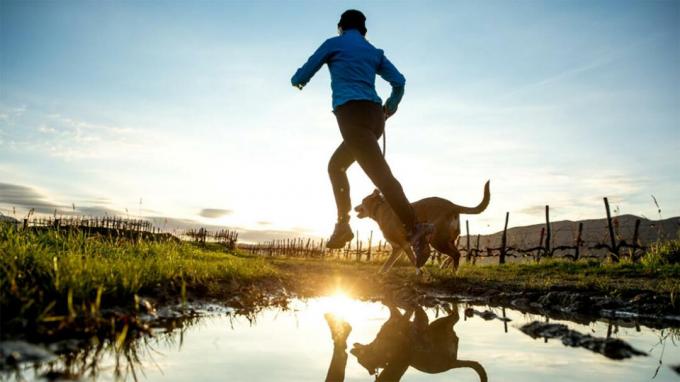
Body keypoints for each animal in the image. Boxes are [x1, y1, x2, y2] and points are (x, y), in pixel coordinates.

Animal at [356, 181, 488, 274]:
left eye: (362, 201)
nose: (355, 207)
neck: (379, 207)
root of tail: (453, 206)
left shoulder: (403, 244)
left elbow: (413, 259)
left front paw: (420, 271)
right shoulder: (397, 248)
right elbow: (388, 264)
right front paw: (380, 273)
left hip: (437, 240)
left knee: (456, 254)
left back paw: (453, 273)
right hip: (449, 239)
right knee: (456, 253)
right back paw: (444, 265)